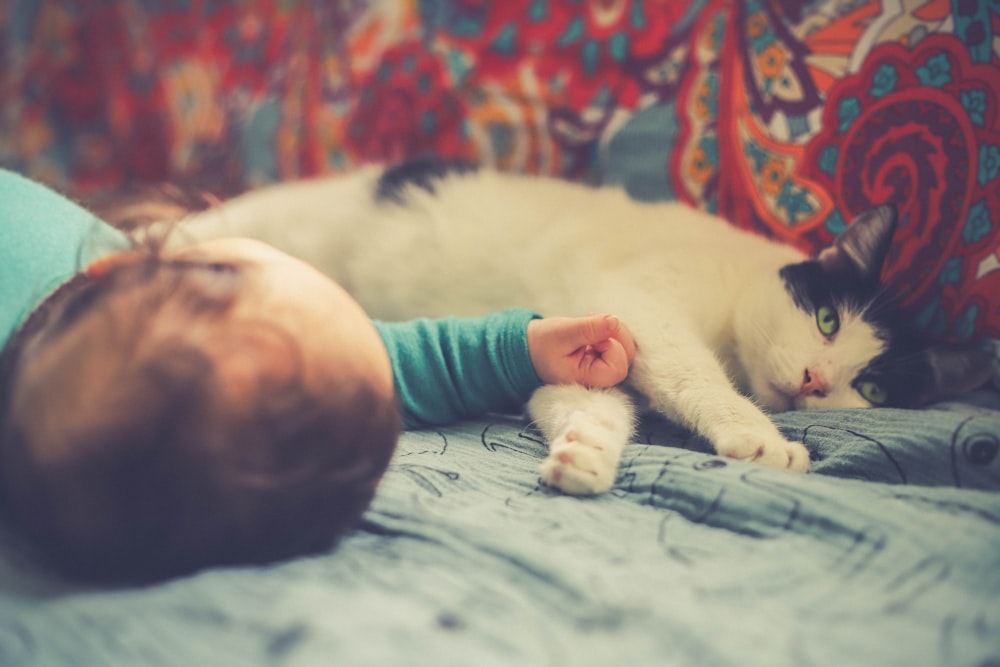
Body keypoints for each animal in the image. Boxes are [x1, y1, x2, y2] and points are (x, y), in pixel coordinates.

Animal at [182, 159, 992, 496]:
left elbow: (589, 404)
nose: (815, 380)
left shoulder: (585, 353)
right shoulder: (647, 309)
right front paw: (760, 437)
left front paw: (586, 456)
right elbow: (698, 380)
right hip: (262, 229)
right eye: (826, 319)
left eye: (873, 387)